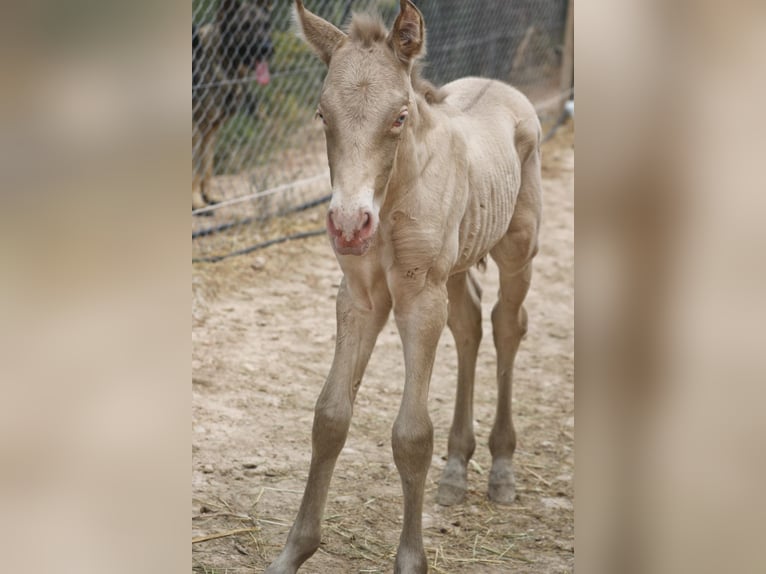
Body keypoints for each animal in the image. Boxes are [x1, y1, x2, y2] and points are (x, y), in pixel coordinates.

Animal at [268, 2, 544, 572]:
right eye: (322, 115)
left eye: (398, 116)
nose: (349, 225)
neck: (395, 196)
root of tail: (506, 88)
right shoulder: (360, 298)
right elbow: (330, 417)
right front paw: (292, 552)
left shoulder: (418, 299)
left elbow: (412, 435)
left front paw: (411, 561)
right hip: (455, 271)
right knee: (470, 326)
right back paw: (457, 468)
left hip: (516, 251)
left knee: (507, 324)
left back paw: (501, 467)